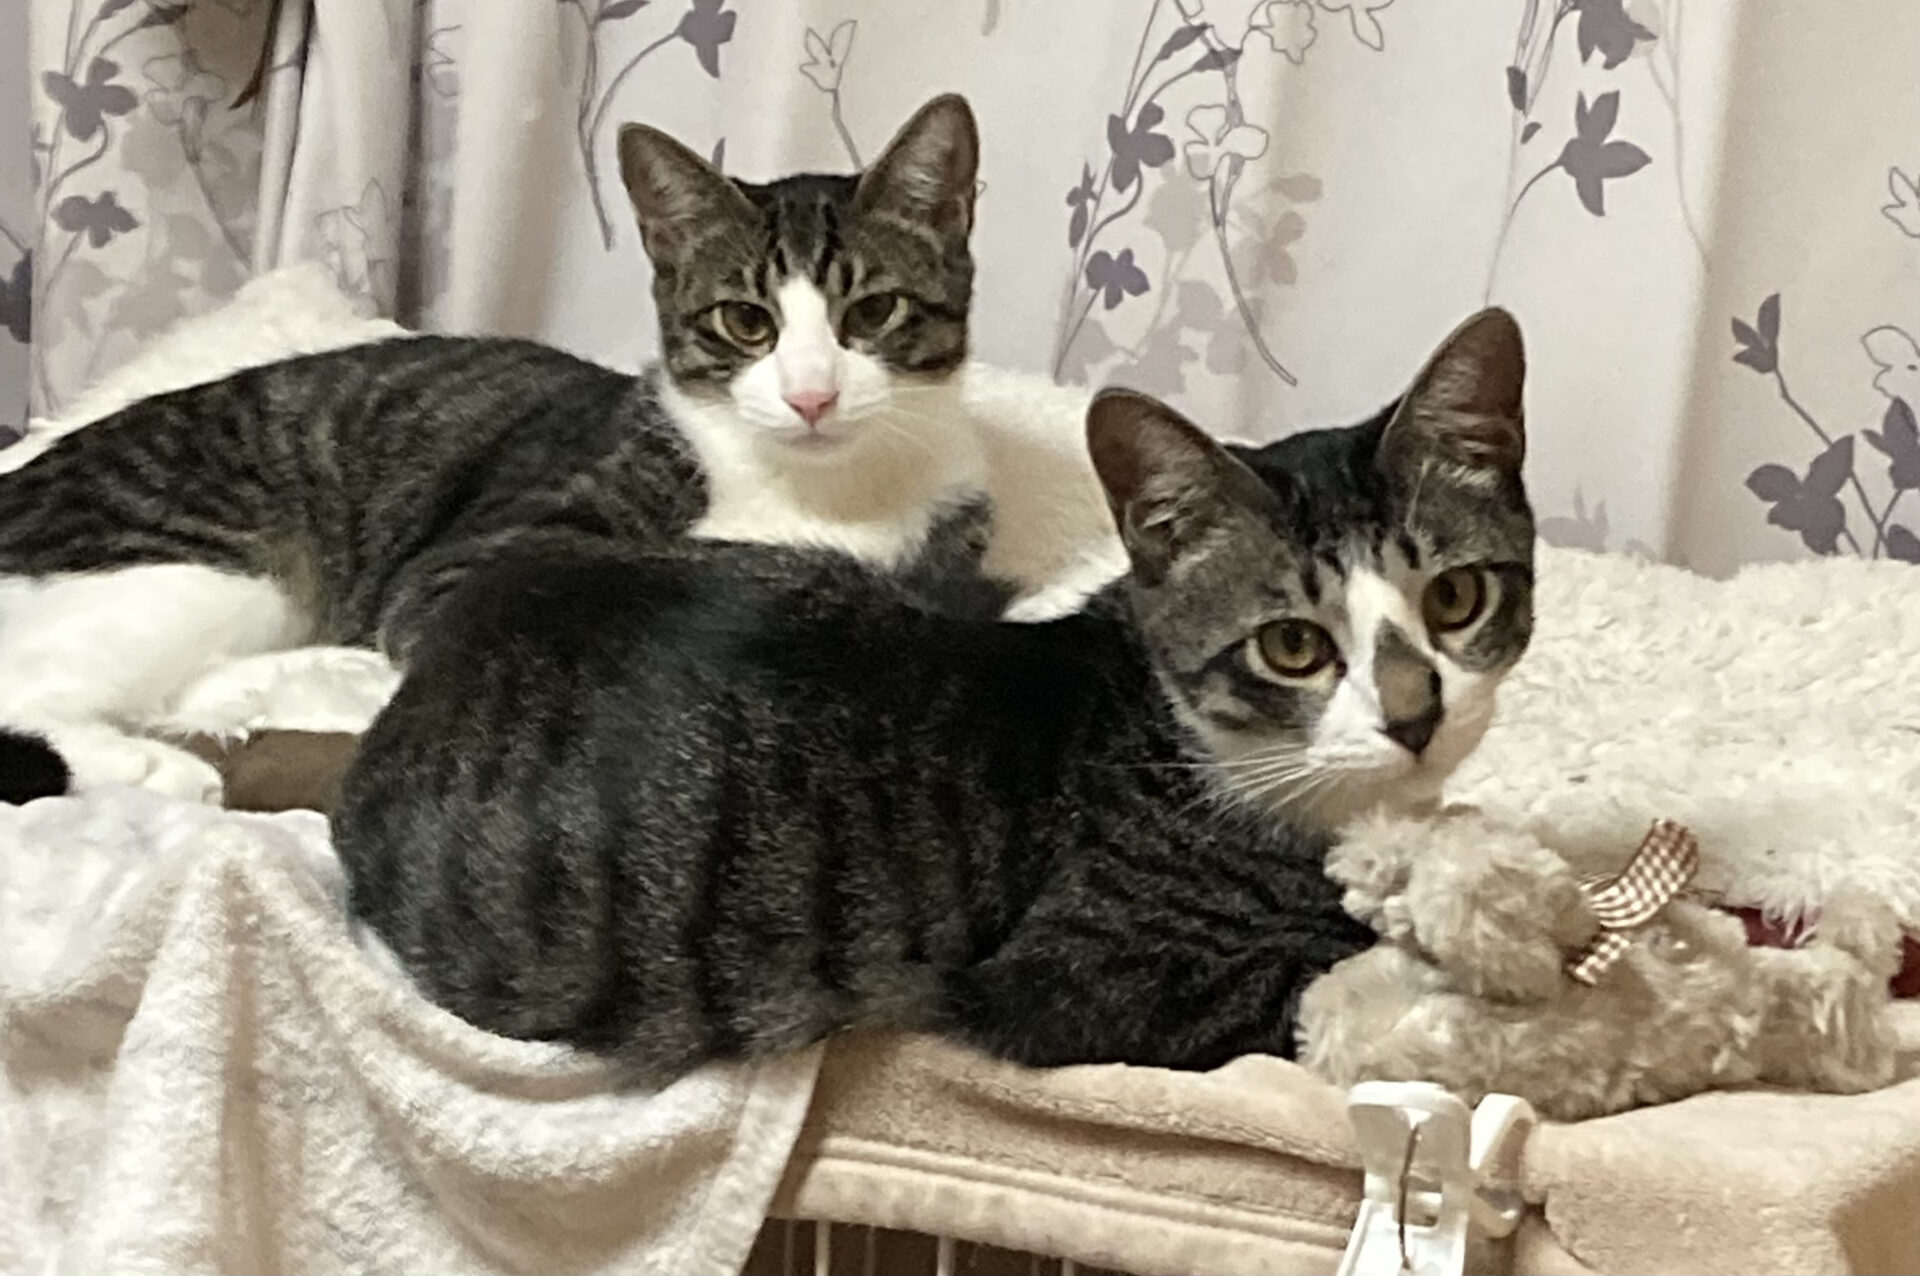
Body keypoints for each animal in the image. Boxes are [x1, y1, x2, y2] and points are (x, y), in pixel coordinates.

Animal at [0, 94, 1023, 806]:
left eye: (873, 311)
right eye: (746, 321)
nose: (813, 395)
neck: (827, 492)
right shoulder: (468, 560)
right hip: (206, 564)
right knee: (33, 685)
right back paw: (156, 767)